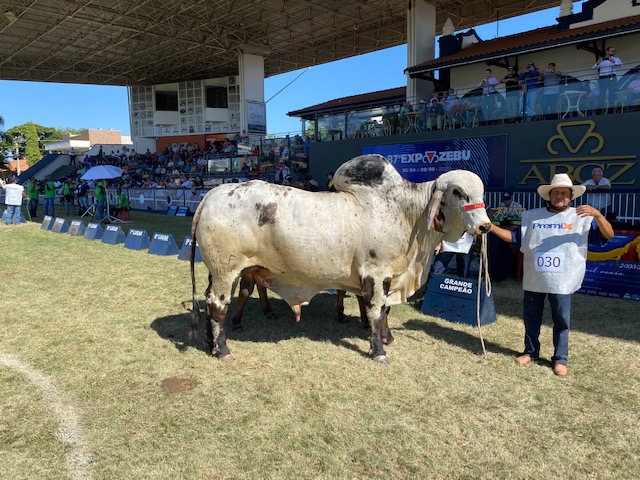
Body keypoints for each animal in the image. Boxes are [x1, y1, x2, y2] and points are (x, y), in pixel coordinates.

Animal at [190, 156, 490, 362]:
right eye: (458, 192)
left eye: (481, 193)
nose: (485, 226)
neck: (406, 212)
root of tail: (211, 194)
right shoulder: (376, 274)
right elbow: (376, 312)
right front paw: (378, 351)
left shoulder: (389, 277)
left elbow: (384, 312)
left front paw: (387, 338)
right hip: (227, 271)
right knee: (218, 306)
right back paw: (223, 349)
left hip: (219, 272)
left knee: (209, 301)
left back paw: (209, 342)